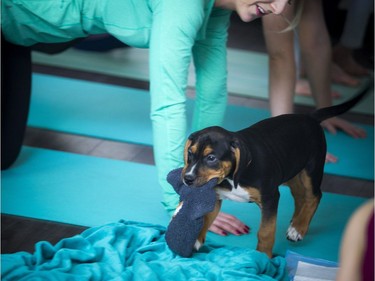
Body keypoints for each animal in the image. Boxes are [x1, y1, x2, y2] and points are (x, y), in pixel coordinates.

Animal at [181, 81, 372, 256]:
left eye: (211, 158)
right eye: (190, 153)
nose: (187, 179)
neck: (232, 177)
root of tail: (310, 117)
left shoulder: (270, 198)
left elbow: (266, 232)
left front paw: (263, 258)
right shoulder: (216, 195)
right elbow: (204, 218)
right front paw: (194, 240)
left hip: (312, 169)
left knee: (314, 196)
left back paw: (298, 228)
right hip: (292, 171)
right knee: (300, 196)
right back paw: (296, 222)